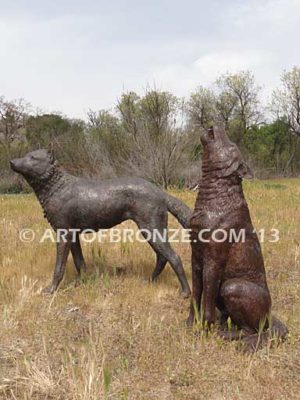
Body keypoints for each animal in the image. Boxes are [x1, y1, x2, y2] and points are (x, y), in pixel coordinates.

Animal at [11, 148, 192, 296]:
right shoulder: (73, 235)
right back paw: (149, 281)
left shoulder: (63, 233)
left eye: (33, 157)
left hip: (151, 228)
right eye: (25, 155)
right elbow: (79, 262)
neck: (56, 187)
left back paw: (185, 292)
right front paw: (82, 282)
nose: (12, 161)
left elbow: (59, 267)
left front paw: (51, 290)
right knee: (162, 257)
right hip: (152, 230)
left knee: (173, 257)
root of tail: (160, 192)